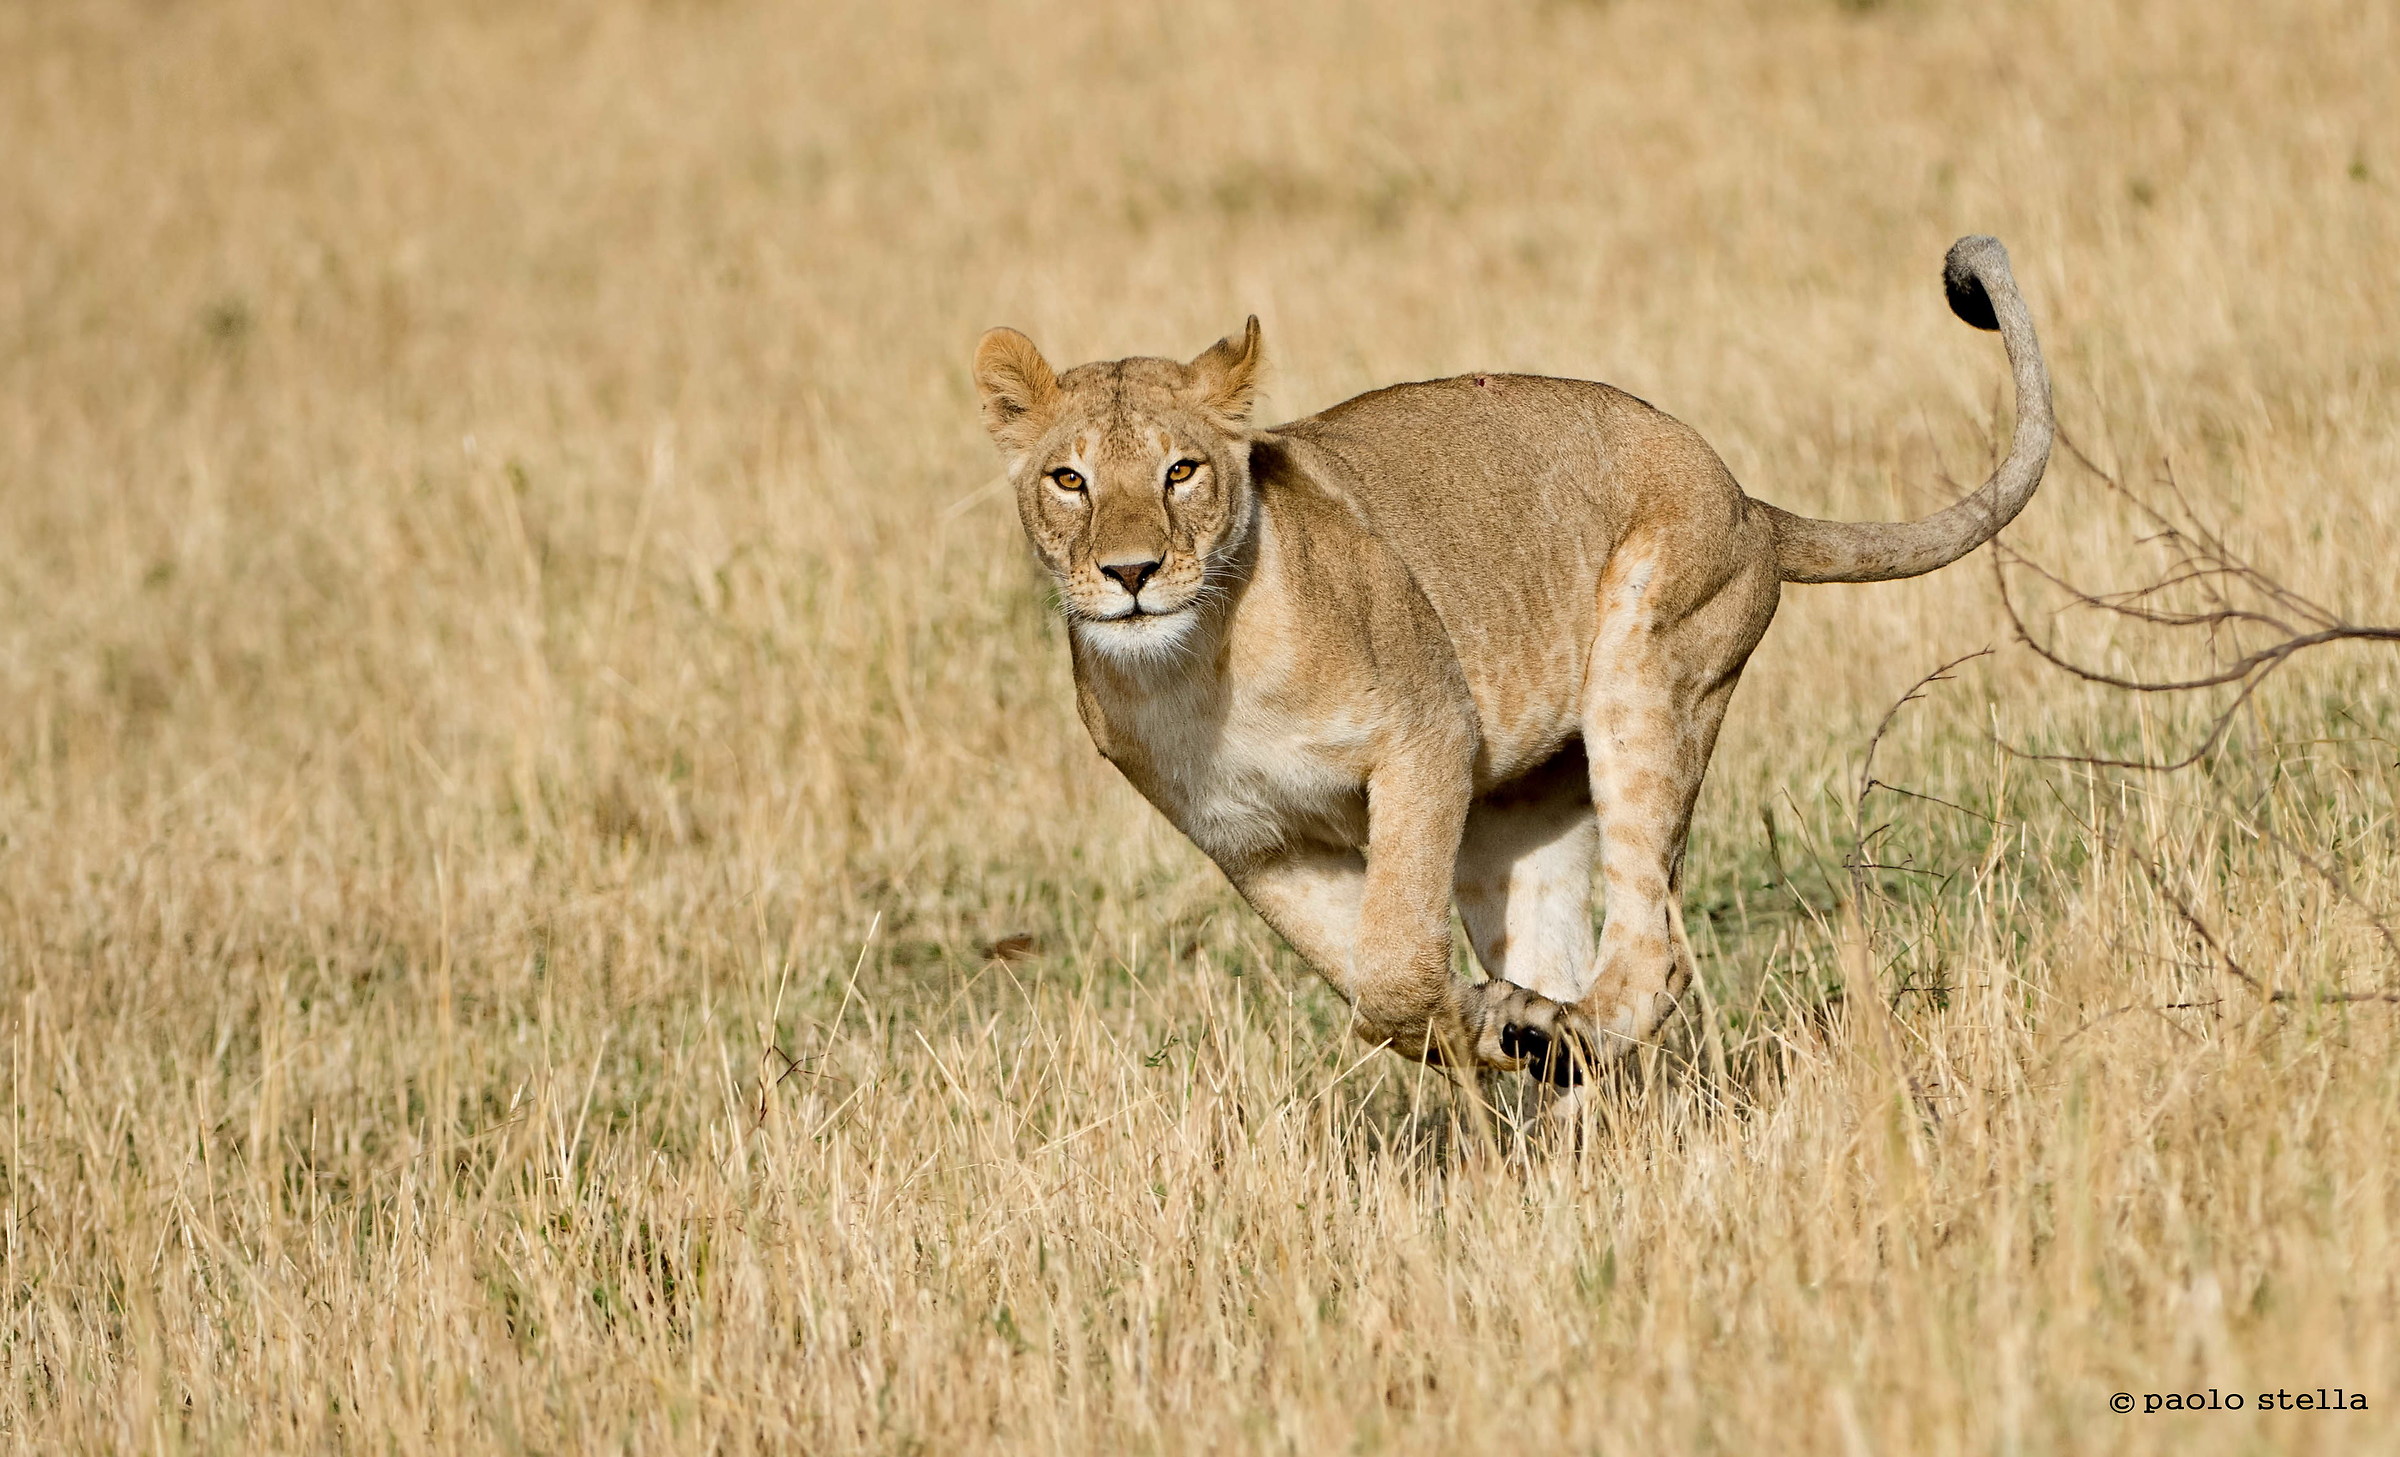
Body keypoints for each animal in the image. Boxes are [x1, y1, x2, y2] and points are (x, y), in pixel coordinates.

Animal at [971, 236, 2050, 1085]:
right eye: (1069, 480)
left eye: (1181, 471)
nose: (1132, 571)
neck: (1191, 671)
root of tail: (1750, 501)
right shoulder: (1252, 840)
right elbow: (1373, 980)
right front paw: (1483, 1025)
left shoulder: (1426, 736)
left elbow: (1394, 960)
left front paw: (1485, 1023)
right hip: (1519, 819)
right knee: (1561, 947)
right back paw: (1558, 1083)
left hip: (1651, 676)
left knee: (1655, 948)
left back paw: (1569, 1038)